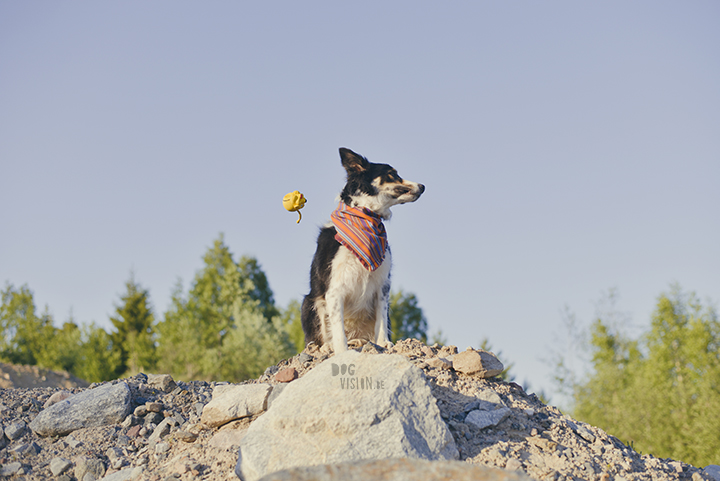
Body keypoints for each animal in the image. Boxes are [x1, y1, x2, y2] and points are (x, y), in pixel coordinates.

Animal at [300, 148, 424, 354]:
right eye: (392, 174)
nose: (423, 186)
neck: (366, 218)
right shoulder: (334, 289)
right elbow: (337, 327)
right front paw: (341, 351)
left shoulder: (383, 284)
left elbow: (381, 317)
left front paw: (383, 342)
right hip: (309, 302)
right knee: (319, 338)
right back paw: (328, 346)